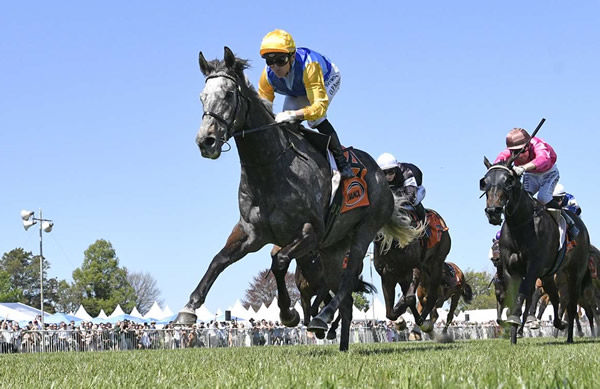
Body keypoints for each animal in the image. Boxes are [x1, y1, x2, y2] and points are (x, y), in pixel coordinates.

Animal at [480, 158, 588, 342]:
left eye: (508, 181)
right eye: (484, 182)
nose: (493, 211)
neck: (521, 225)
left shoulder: (533, 267)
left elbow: (522, 294)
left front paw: (516, 322)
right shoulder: (512, 270)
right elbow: (514, 298)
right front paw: (513, 333)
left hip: (574, 273)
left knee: (571, 306)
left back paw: (569, 336)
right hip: (548, 275)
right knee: (555, 298)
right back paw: (558, 324)